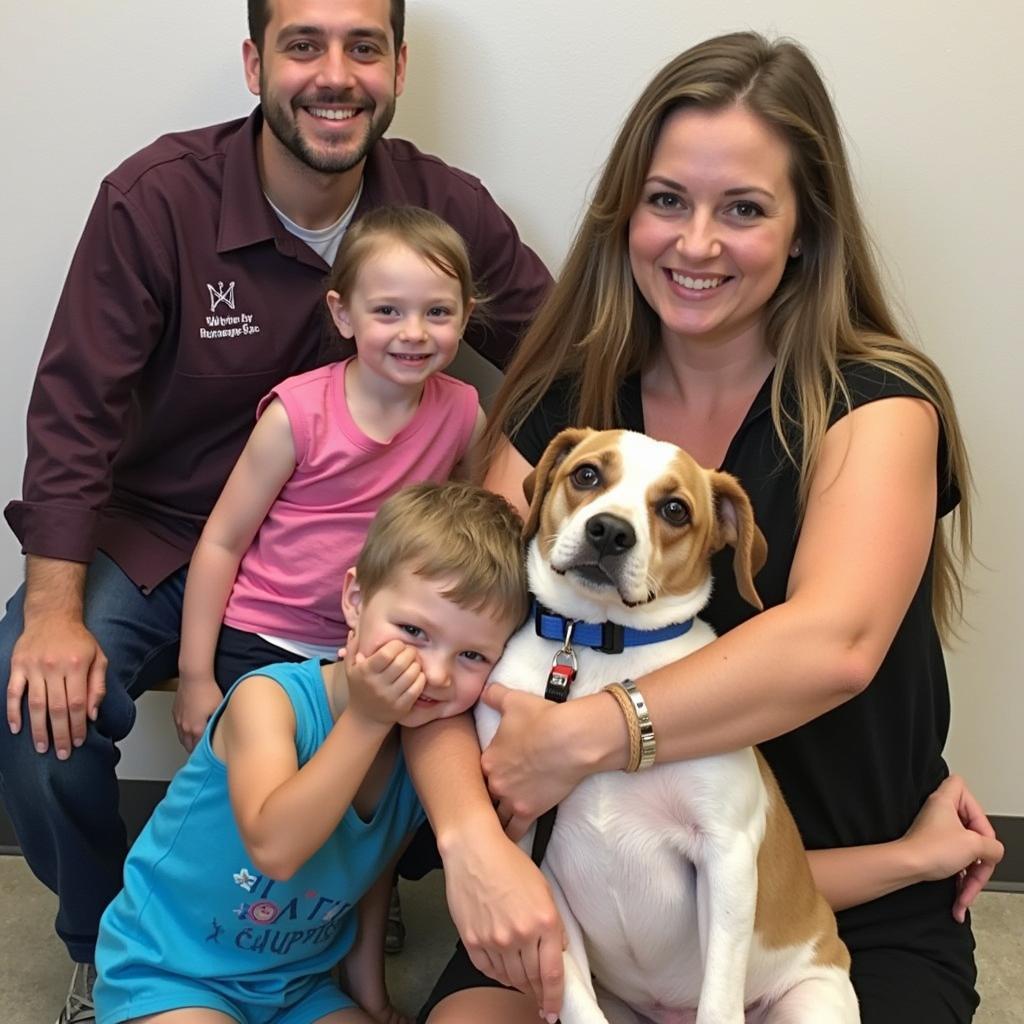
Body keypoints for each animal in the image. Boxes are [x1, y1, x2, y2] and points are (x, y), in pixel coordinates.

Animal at [475, 430, 860, 1024]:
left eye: (675, 509)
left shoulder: (725, 854)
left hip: (810, 1001)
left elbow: (719, 1001)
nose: (609, 531)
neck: (597, 648)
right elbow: (576, 996)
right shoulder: (528, 856)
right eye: (587, 475)